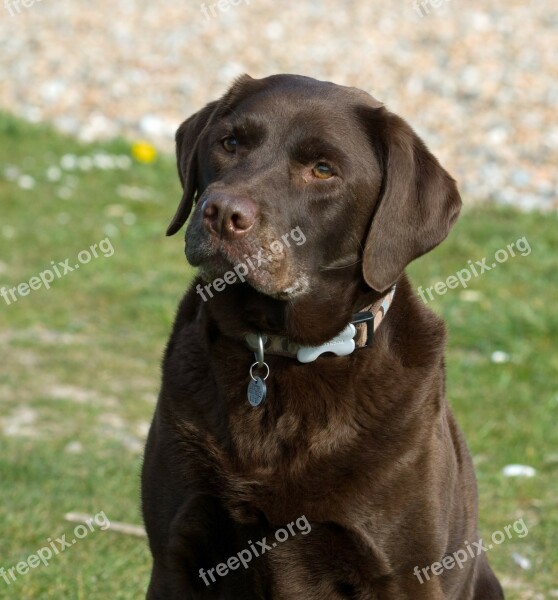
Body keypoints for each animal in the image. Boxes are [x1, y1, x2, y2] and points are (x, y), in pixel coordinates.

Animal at [141, 72, 508, 596]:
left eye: (322, 169)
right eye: (230, 143)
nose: (220, 212)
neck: (281, 350)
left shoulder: (404, 576)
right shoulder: (175, 557)